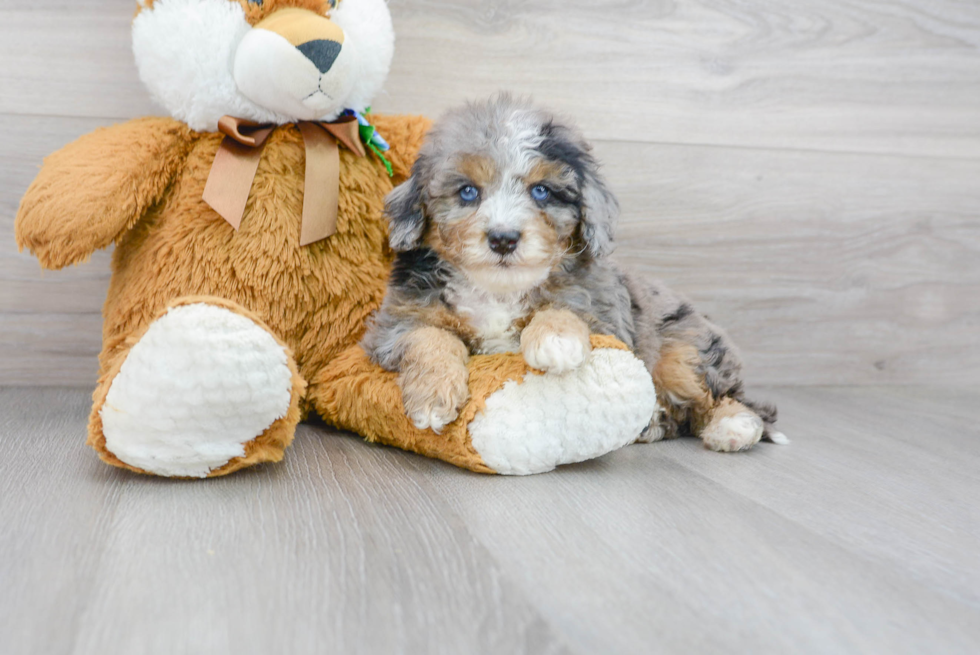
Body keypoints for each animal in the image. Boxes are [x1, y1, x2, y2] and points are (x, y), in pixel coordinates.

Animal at [364, 95, 784, 452]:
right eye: (467, 192)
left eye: (541, 192)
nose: (503, 239)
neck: (499, 290)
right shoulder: (393, 325)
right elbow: (430, 337)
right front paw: (433, 396)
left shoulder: (604, 316)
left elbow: (565, 309)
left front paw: (556, 340)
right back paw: (652, 423)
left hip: (686, 351)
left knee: (725, 398)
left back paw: (732, 426)